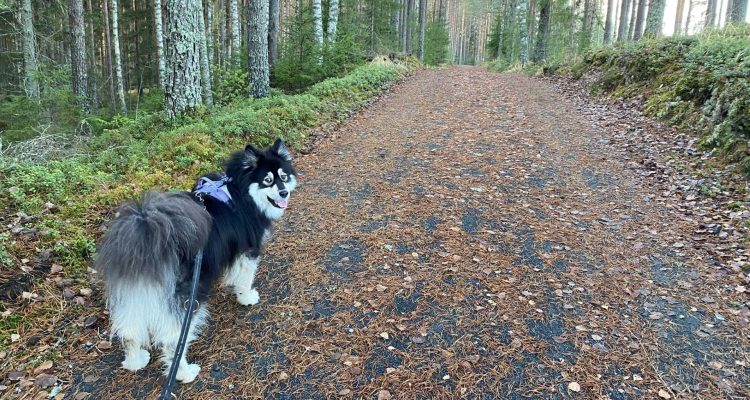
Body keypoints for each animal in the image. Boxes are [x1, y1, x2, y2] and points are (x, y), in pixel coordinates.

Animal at [97, 139, 300, 382]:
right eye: (267, 181)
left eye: (283, 176)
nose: (284, 192)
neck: (240, 192)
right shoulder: (248, 250)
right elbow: (245, 278)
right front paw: (246, 297)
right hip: (188, 299)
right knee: (172, 342)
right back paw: (184, 374)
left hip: (135, 296)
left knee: (129, 331)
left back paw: (135, 361)